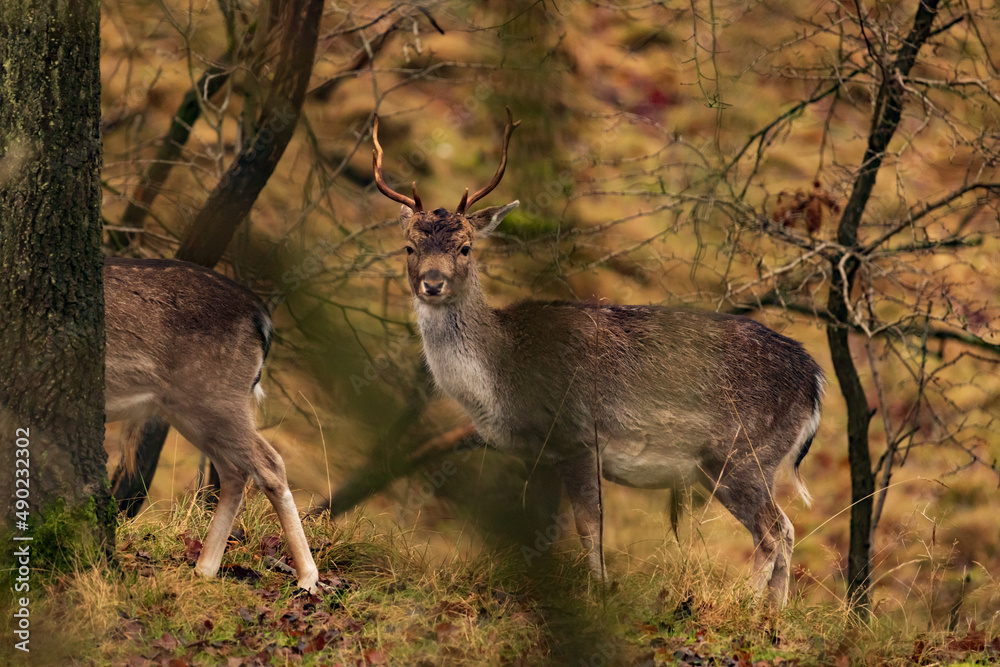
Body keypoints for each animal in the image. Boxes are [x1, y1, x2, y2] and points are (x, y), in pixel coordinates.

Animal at [105, 258, 316, 592]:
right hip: (191, 411)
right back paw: (204, 568)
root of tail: (263, 319)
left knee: (269, 463)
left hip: (216, 400)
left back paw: (308, 579)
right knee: (234, 473)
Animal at [372, 108, 824, 604]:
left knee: (772, 532)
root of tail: (815, 381)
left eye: (465, 247)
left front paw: (599, 591)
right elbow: (541, 527)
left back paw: (740, 603)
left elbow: (590, 526)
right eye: (409, 247)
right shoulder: (538, 454)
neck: (499, 381)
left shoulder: (576, 435)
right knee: (787, 528)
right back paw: (773, 615)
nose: (432, 283)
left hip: (741, 454)